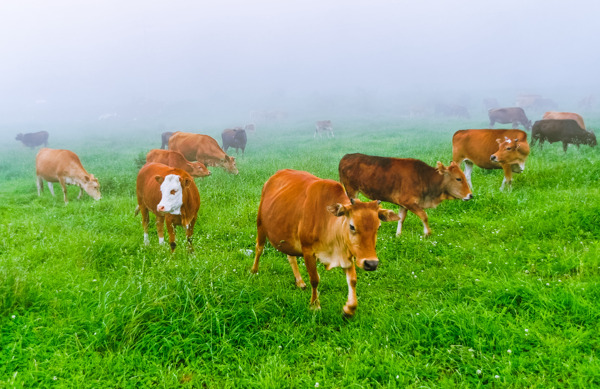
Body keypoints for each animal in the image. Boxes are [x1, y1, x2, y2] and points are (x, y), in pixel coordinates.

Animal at [251, 167, 400, 316]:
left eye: (378, 227)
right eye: (352, 226)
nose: (371, 264)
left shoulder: (347, 253)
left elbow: (352, 280)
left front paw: (349, 308)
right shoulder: (308, 251)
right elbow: (315, 279)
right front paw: (315, 305)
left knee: (290, 256)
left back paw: (299, 281)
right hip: (260, 223)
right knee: (259, 248)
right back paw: (254, 271)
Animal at [340, 154, 472, 236]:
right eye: (458, 179)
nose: (470, 195)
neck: (424, 178)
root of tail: (346, 156)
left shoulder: (403, 204)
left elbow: (401, 218)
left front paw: (398, 234)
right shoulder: (409, 202)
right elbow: (424, 215)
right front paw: (427, 233)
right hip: (352, 191)